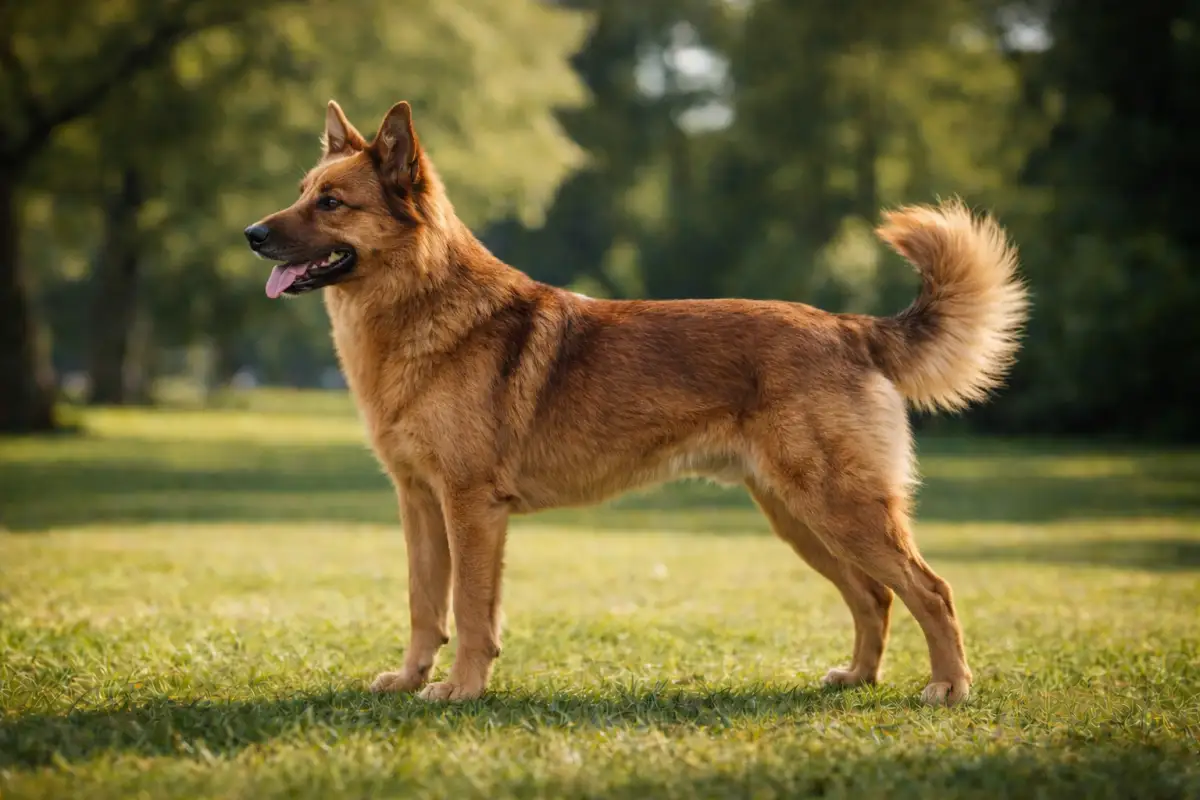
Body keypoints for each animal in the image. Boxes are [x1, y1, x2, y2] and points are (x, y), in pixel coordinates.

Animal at [244, 100, 1028, 705]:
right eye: (303, 190)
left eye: (332, 202)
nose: (250, 234)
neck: (421, 309)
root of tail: (850, 327)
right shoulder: (419, 504)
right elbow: (422, 604)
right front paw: (410, 681)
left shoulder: (470, 508)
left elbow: (468, 611)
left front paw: (461, 690)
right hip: (800, 520)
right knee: (876, 598)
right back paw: (858, 678)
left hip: (841, 511)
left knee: (931, 590)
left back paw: (950, 687)